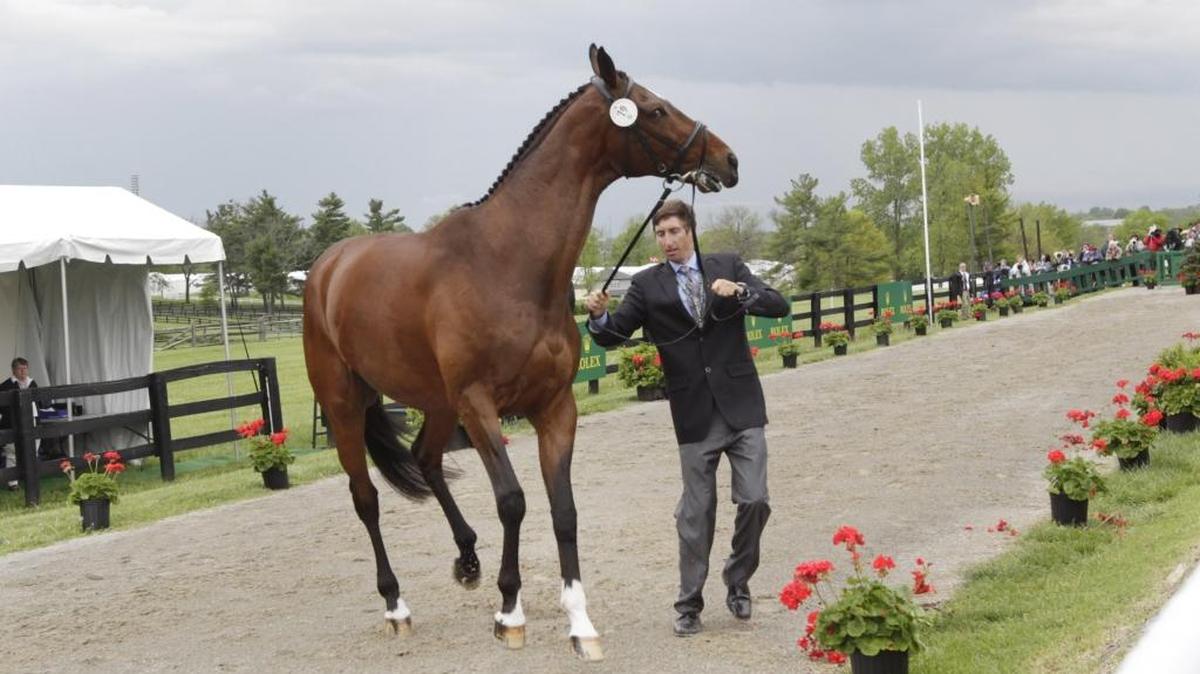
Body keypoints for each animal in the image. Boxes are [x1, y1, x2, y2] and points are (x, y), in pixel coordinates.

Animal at [302, 44, 738, 661]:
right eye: (654, 109)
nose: (728, 159)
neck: (509, 262)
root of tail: (328, 268)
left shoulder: (554, 406)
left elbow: (564, 509)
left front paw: (580, 622)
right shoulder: (481, 405)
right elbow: (513, 500)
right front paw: (510, 612)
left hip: (438, 404)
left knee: (426, 460)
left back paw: (467, 560)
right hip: (346, 404)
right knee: (366, 497)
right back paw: (396, 605)